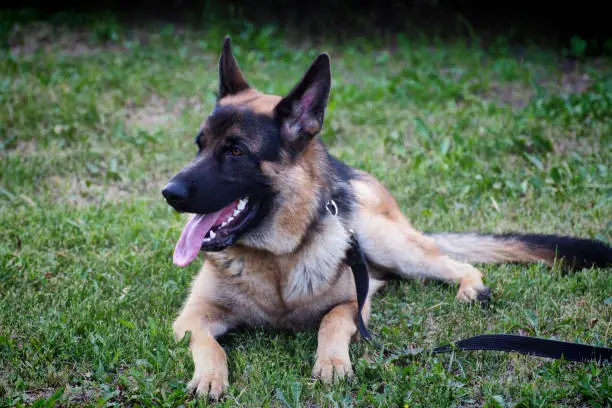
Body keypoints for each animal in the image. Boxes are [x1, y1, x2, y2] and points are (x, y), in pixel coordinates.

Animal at [161, 36, 612, 396]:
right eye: (200, 145)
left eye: (235, 151)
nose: (169, 192)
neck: (275, 261)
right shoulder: (190, 319)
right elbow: (209, 344)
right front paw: (210, 377)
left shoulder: (354, 305)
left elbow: (330, 322)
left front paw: (332, 362)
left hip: (387, 245)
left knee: (455, 263)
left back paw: (471, 288)